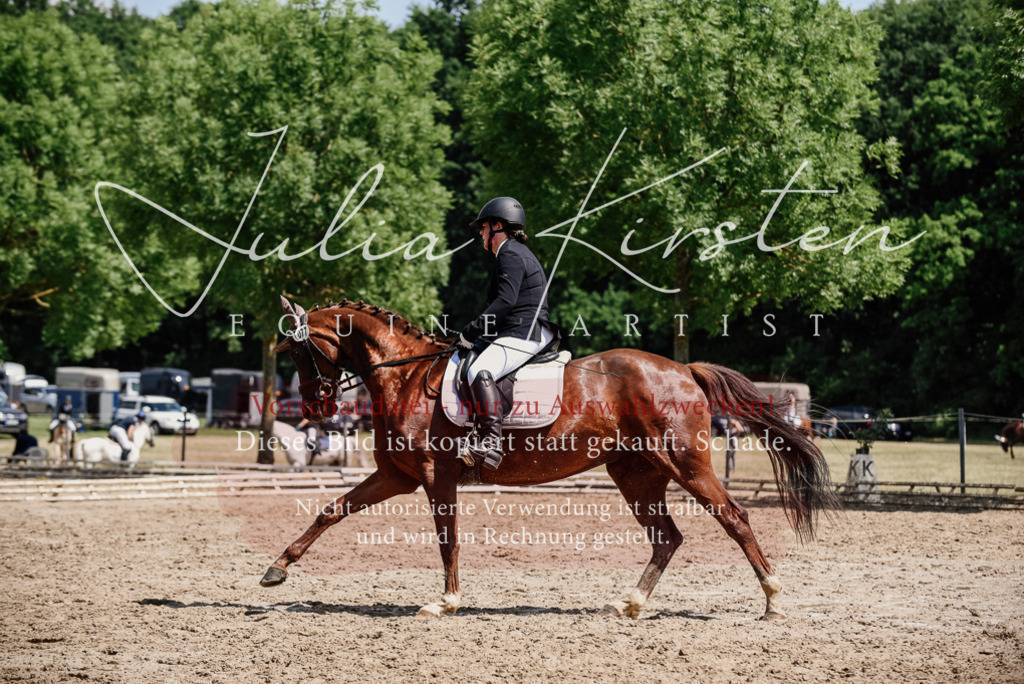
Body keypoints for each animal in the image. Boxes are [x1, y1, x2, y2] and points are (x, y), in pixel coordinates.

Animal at [260, 297, 838, 620]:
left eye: (298, 352)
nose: (314, 408)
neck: (403, 377)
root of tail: (684, 370)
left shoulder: (434, 478)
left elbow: (448, 542)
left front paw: (445, 602)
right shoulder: (394, 476)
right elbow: (331, 511)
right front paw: (276, 570)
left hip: (685, 465)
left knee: (734, 518)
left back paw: (773, 601)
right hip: (636, 474)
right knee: (667, 538)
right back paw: (630, 604)